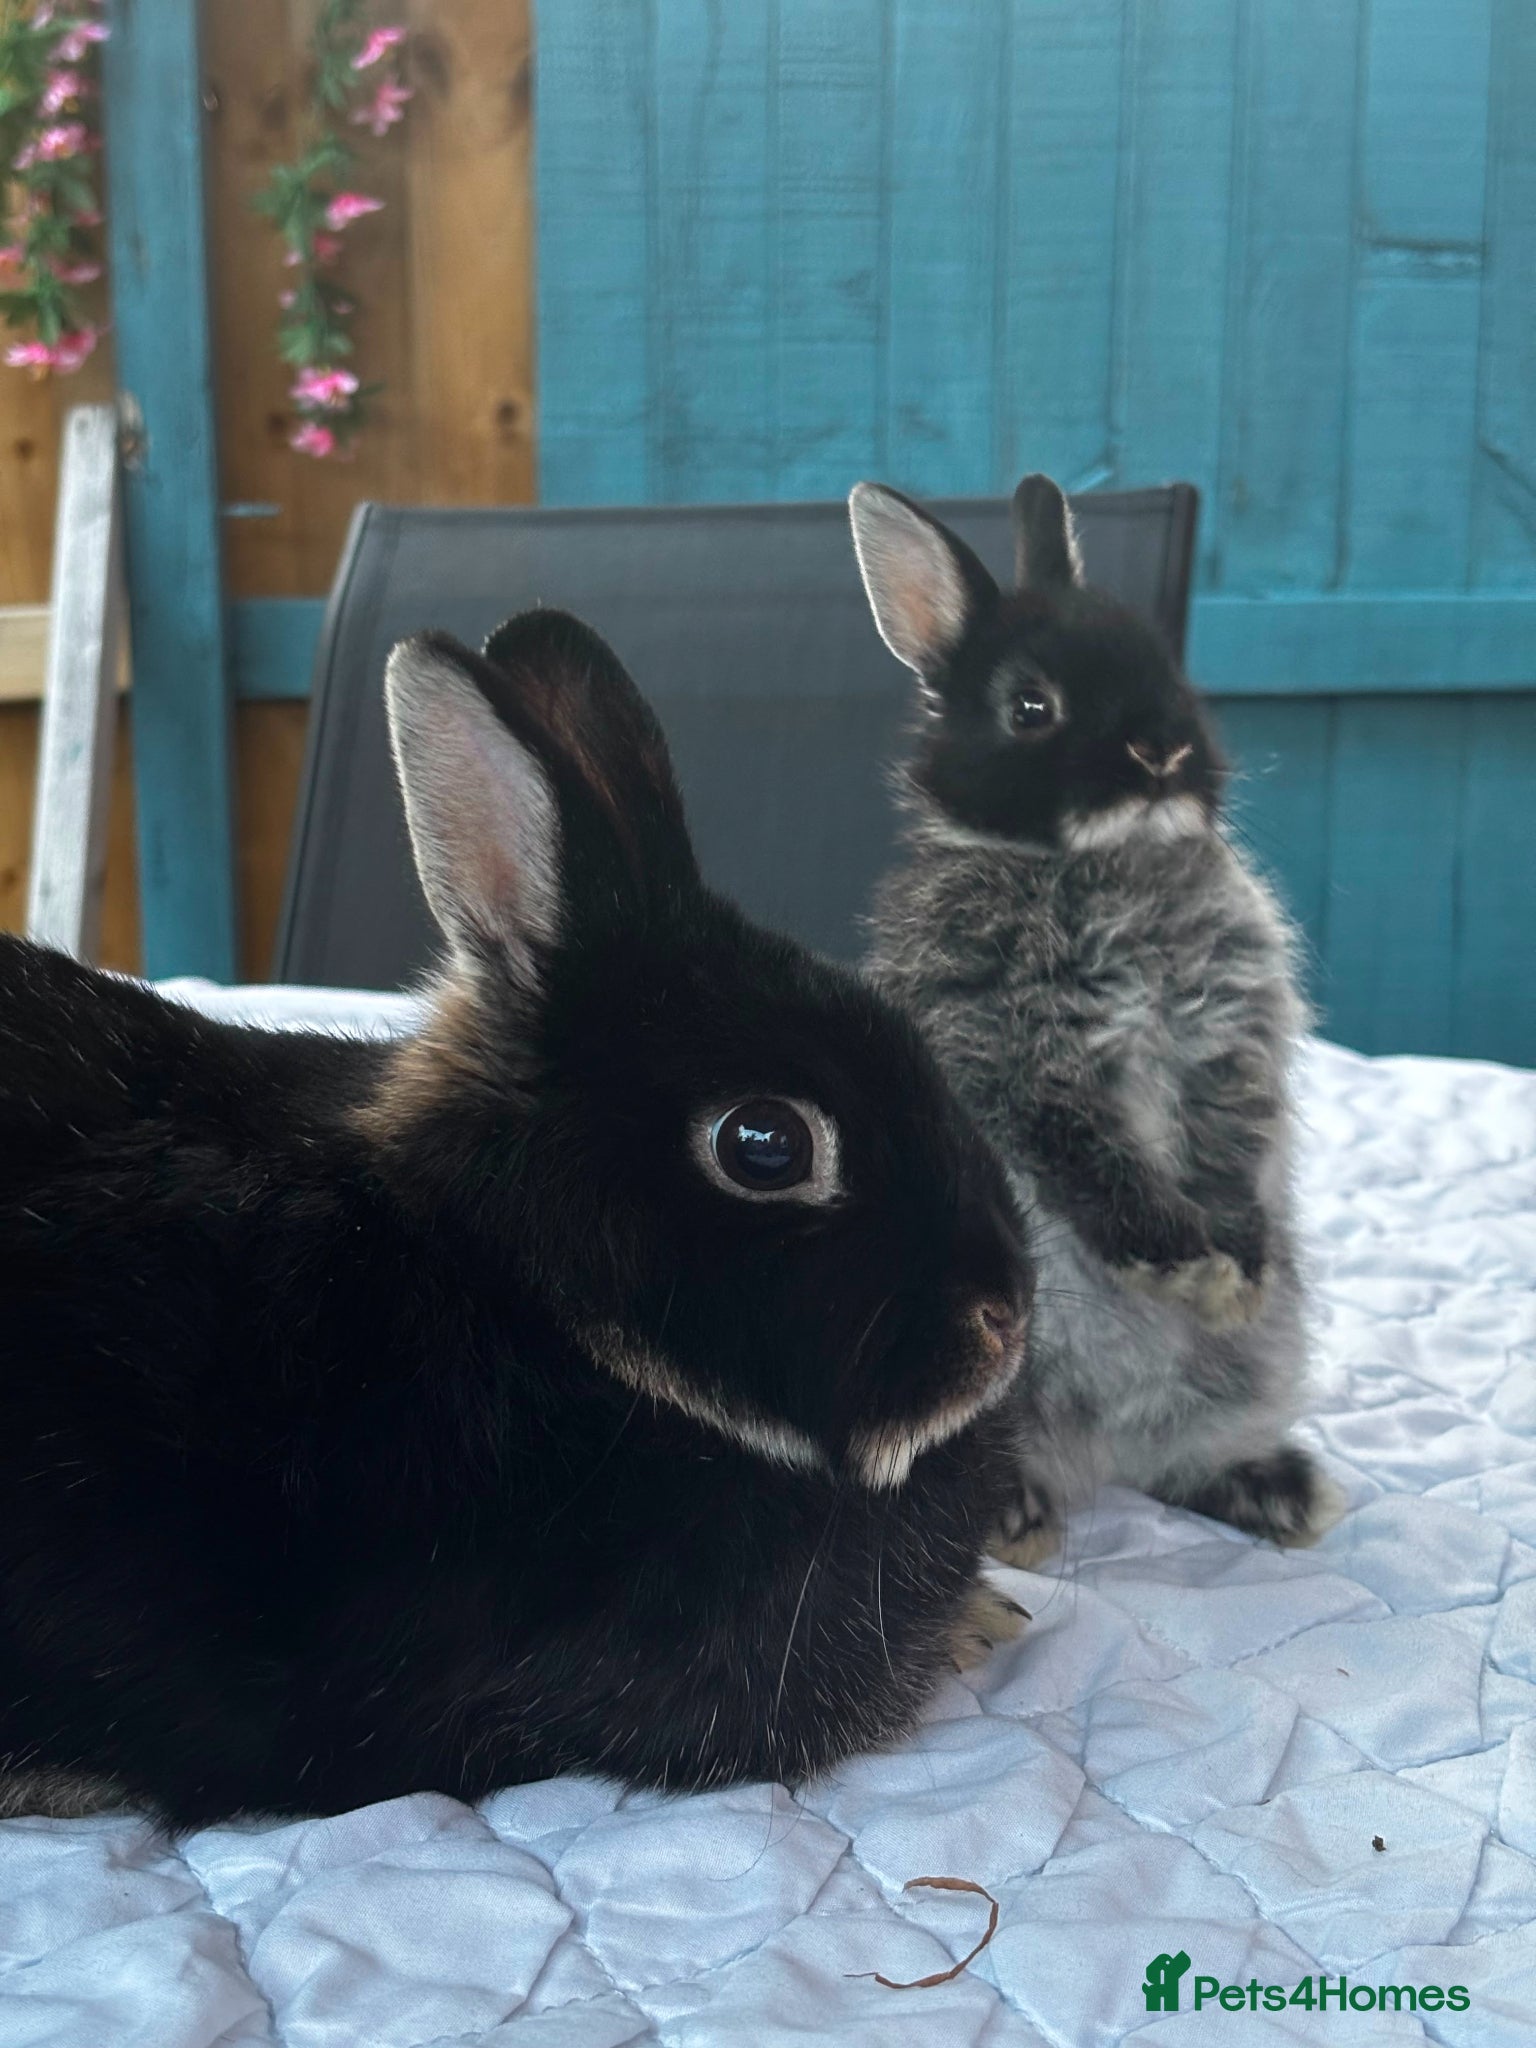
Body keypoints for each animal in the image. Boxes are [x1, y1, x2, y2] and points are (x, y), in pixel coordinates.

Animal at [849, 474, 1340, 1566]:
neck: (1099, 864)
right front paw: (1191, 1267)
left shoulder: (1226, 1047)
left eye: (1172, 672)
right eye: (1031, 707)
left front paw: (1236, 1275)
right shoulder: (1017, 1059)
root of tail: (1094, 1454)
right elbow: (1096, 1163)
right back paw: (1017, 1520)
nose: (1161, 751)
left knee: (1178, 1459)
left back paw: (1279, 1491)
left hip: (1249, 1374)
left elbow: (1230, 1150)